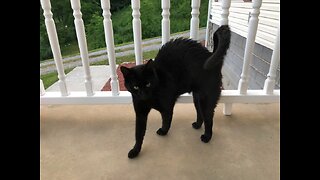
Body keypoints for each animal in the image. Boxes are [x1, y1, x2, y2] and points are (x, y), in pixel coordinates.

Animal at [120, 25, 230, 158]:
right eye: (135, 87)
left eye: (148, 84)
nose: (143, 94)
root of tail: (210, 55)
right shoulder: (140, 112)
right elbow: (138, 134)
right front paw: (135, 151)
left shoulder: (167, 107)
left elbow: (166, 121)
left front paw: (163, 131)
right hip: (197, 98)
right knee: (200, 113)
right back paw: (197, 125)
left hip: (207, 98)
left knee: (209, 118)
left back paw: (207, 137)